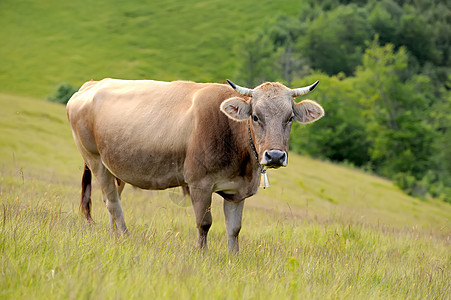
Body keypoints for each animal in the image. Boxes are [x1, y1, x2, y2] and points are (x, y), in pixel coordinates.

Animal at [66, 78, 324, 252]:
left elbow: (234, 229)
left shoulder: (237, 192)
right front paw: (201, 254)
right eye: (255, 116)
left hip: (115, 165)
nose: (275, 156)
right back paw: (126, 237)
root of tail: (92, 84)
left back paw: (115, 236)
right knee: (113, 203)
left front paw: (233, 258)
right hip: (94, 159)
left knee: (111, 198)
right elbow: (204, 223)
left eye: (289, 118)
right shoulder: (199, 184)